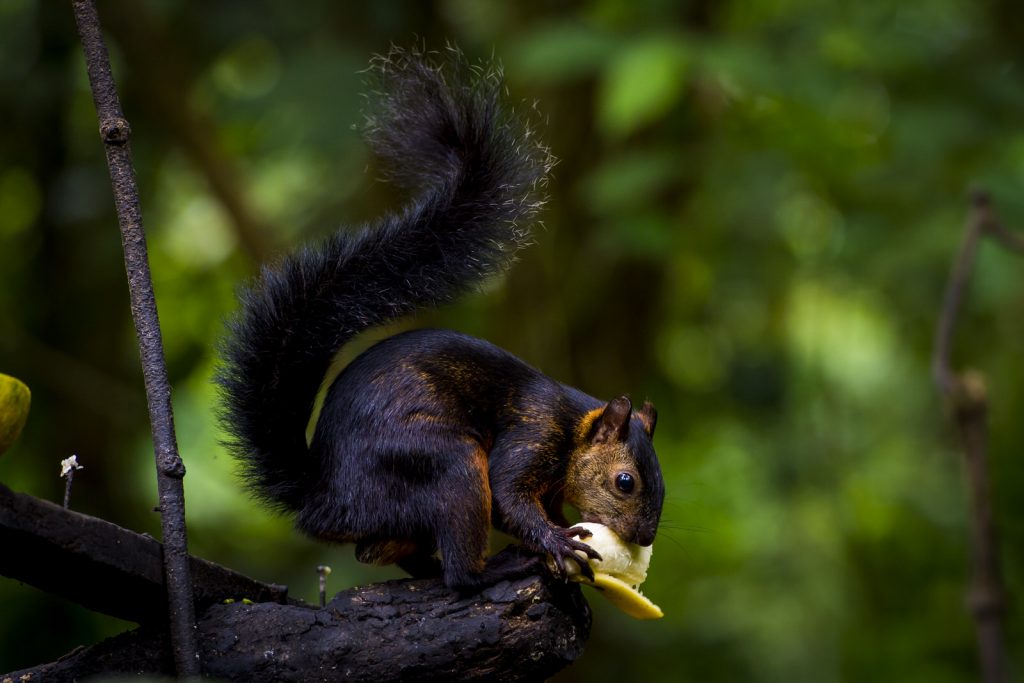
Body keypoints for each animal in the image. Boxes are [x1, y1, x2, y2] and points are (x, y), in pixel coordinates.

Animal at [216, 49, 663, 593]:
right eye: (626, 482)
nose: (644, 537)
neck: (572, 425)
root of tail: (323, 500)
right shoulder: (532, 430)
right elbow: (509, 496)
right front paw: (556, 542)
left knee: (374, 550)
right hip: (446, 466)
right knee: (460, 571)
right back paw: (493, 567)